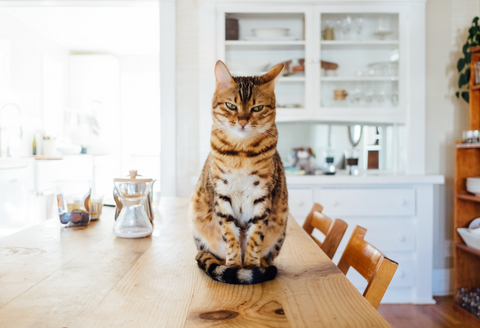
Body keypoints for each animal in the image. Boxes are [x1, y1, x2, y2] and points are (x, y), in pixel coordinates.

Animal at [190, 60, 288, 284]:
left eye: (257, 108)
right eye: (231, 106)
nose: (243, 121)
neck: (242, 153)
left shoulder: (262, 196)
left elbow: (255, 237)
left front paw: (251, 266)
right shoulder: (222, 195)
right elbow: (230, 236)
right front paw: (234, 266)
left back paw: (262, 264)